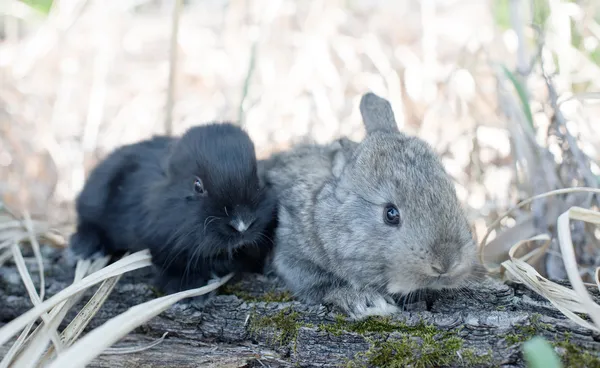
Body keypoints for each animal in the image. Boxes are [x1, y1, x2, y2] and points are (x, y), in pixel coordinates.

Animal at [262, 91, 478, 320]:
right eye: (390, 214)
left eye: (452, 194)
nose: (446, 263)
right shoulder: (291, 249)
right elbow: (319, 283)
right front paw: (365, 301)